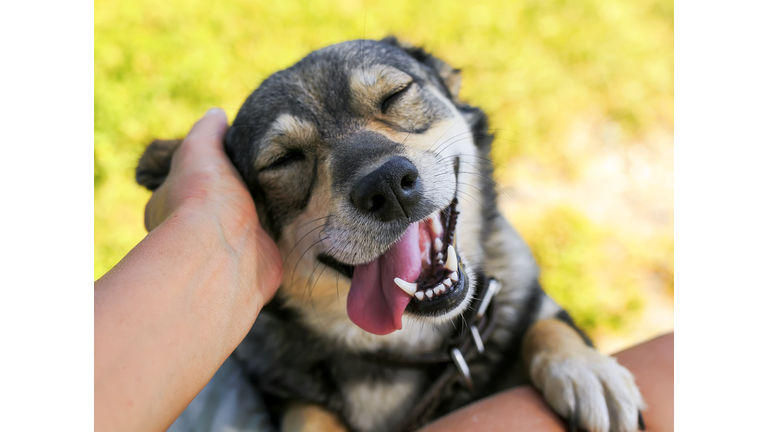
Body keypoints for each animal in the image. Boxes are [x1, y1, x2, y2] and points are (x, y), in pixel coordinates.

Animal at [138, 37, 648, 432]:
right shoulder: (281, 391)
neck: (410, 346)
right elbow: (308, 413)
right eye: (283, 160)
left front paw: (585, 370)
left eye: (396, 95)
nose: (385, 185)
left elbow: (546, 324)